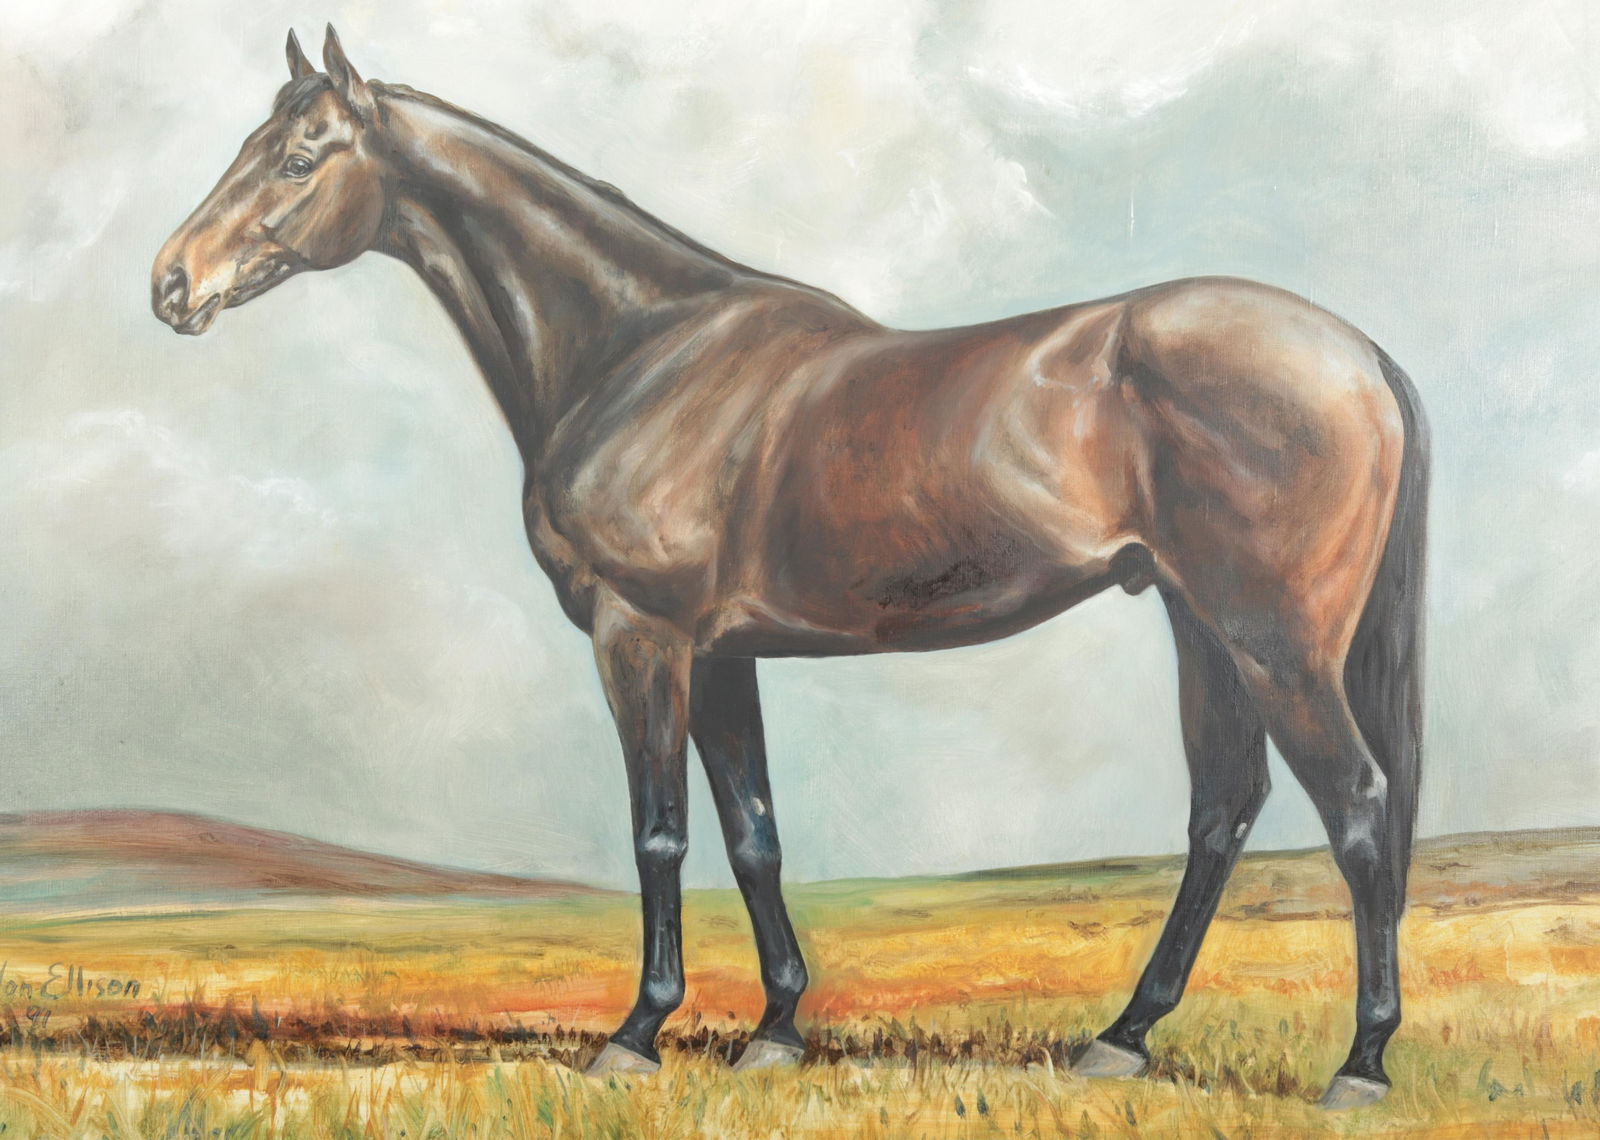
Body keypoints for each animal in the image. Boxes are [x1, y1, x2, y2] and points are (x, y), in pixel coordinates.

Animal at [151, 27, 1428, 1109]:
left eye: (298, 159)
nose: (170, 284)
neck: (642, 350)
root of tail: (1356, 351)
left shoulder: (641, 638)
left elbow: (659, 832)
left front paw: (634, 1036)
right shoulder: (723, 656)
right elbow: (754, 833)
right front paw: (774, 1029)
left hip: (1272, 641)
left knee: (1359, 806)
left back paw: (1358, 1064)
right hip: (1197, 621)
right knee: (1223, 807)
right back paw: (1121, 1038)